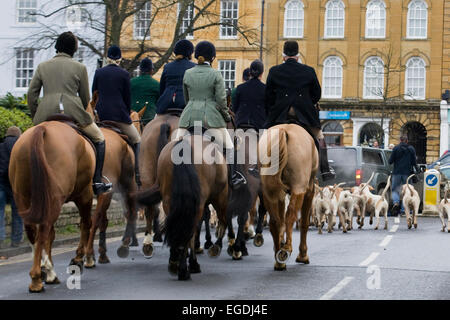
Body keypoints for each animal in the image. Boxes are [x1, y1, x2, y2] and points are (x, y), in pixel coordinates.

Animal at [8, 120, 96, 292]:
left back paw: (42, 271)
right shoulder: (84, 193)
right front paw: (77, 260)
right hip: (56, 198)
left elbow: (52, 234)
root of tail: (42, 129)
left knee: (33, 231)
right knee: (43, 230)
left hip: (24, 197)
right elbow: (85, 224)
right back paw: (38, 277)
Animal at [136, 138, 229, 280]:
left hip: (169, 200)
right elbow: (218, 222)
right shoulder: (219, 198)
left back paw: (174, 261)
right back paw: (186, 267)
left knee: (176, 225)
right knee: (192, 229)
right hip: (210, 201)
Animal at [258, 124, 318, 270]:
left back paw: (279, 260)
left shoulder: (279, 195)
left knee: (275, 221)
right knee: (290, 216)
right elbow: (304, 223)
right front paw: (303, 255)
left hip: (269, 191)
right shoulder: (309, 191)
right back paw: (286, 249)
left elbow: (281, 221)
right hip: (298, 188)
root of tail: (283, 130)